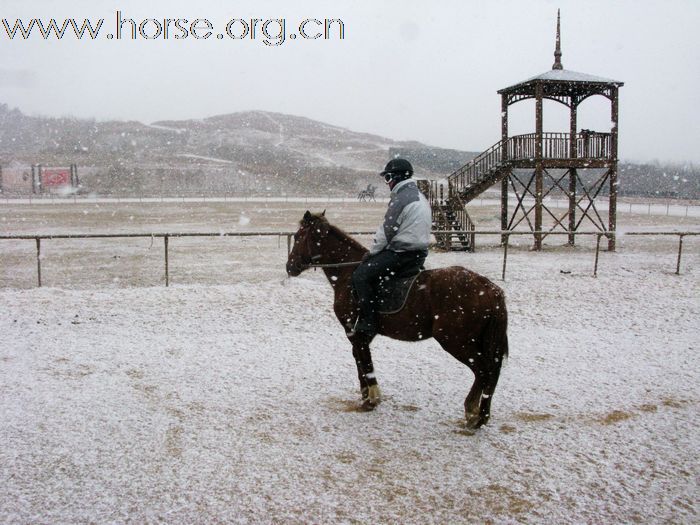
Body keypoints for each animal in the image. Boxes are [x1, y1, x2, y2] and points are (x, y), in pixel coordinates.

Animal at [284, 211, 508, 428]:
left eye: (298, 236)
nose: (289, 266)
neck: (348, 273)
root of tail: (489, 288)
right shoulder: (365, 333)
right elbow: (360, 359)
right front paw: (367, 396)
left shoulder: (353, 330)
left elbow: (364, 360)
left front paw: (371, 399)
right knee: (491, 373)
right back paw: (481, 415)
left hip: (457, 342)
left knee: (484, 372)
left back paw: (473, 412)